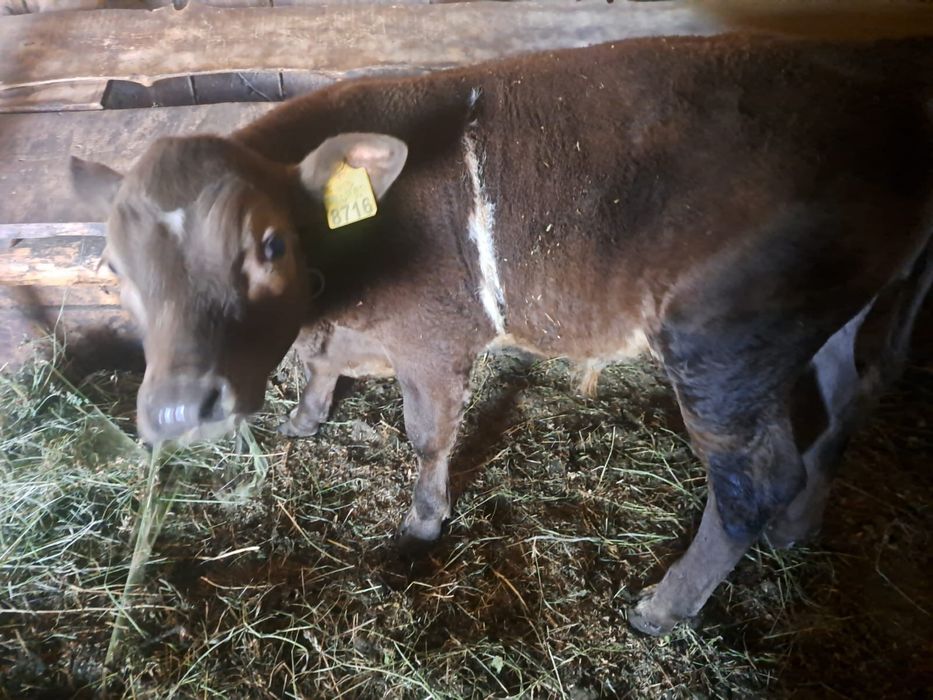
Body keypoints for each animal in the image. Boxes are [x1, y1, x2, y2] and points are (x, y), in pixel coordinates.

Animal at [69, 26, 933, 636]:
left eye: (270, 246)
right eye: (113, 264)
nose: (179, 409)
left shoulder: (432, 337)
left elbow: (426, 436)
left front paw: (420, 524)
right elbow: (325, 365)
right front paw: (307, 417)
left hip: (721, 343)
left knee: (753, 480)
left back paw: (664, 605)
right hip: (832, 318)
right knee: (846, 401)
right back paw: (799, 526)